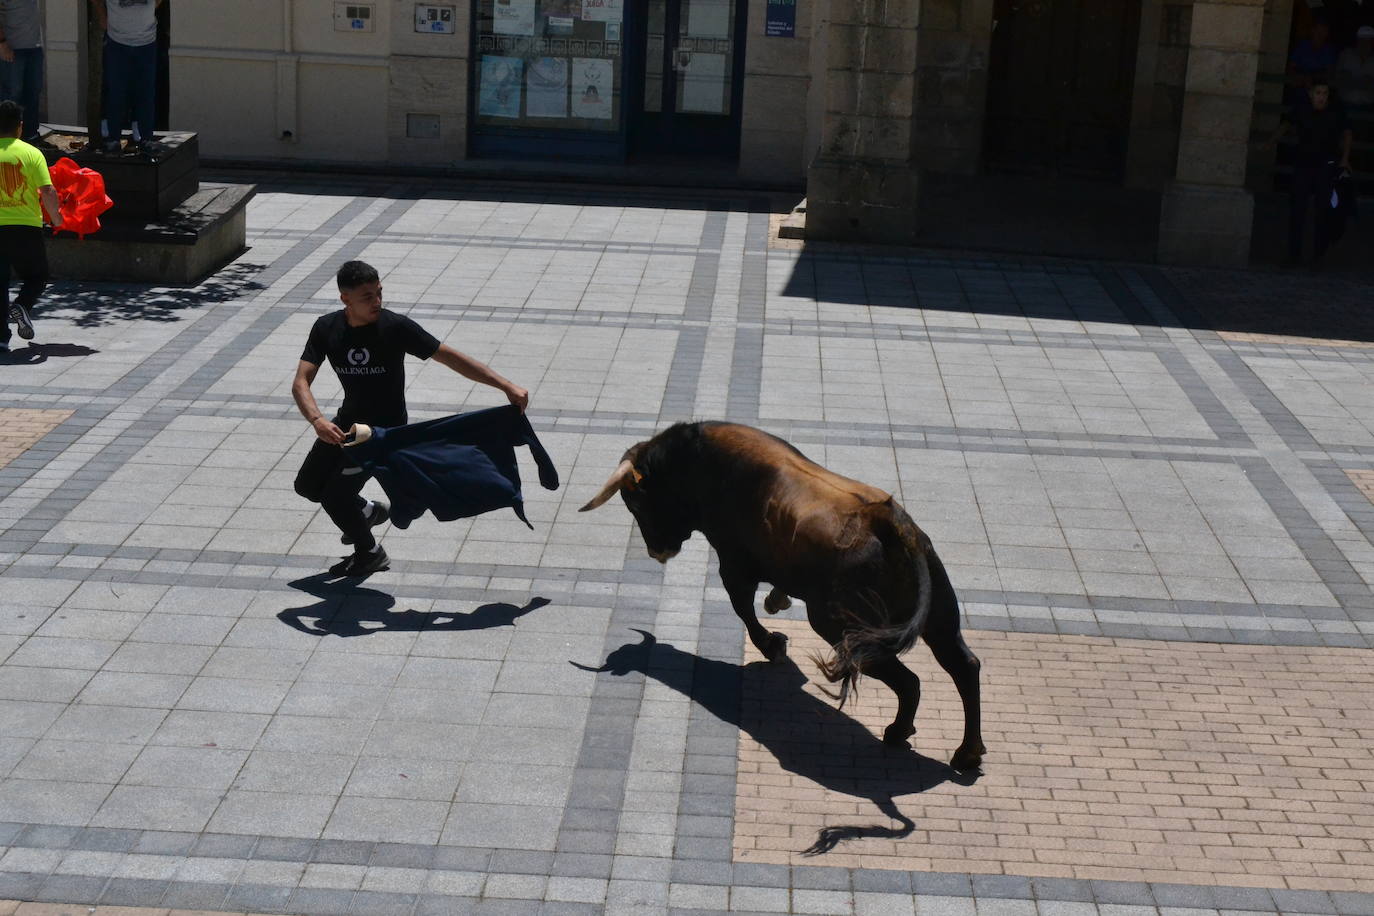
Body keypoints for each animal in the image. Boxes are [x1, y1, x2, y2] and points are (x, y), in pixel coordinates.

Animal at [582, 422, 989, 774]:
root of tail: (888, 524)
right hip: (939, 618)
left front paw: (772, 644)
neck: (697, 462)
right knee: (963, 665)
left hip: (840, 628)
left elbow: (742, 606)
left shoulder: (733, 562)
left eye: (636, 504)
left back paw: (899, 732)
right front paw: (777, 604)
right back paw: (967, 753)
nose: (657, 551)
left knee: (909, 681)